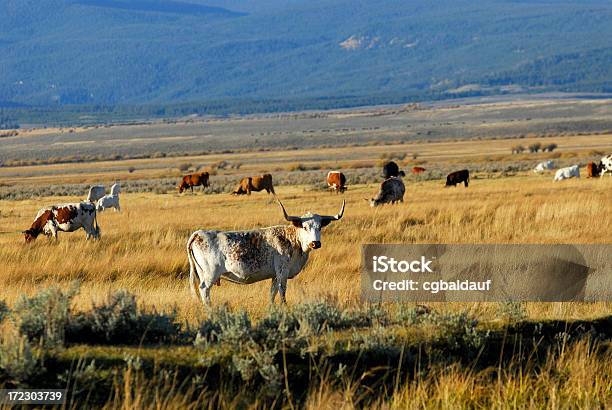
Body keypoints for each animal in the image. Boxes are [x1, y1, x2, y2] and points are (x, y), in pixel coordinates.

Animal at [186, 200, 344, 306]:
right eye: (304, 227)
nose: (315, 243)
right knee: (204, 290)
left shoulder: (274, 275)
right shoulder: (282, 272)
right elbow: (282, 291)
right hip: (210, 274)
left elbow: (272, 293)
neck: (291, 240)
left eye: (320, 227)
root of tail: (198, 233)